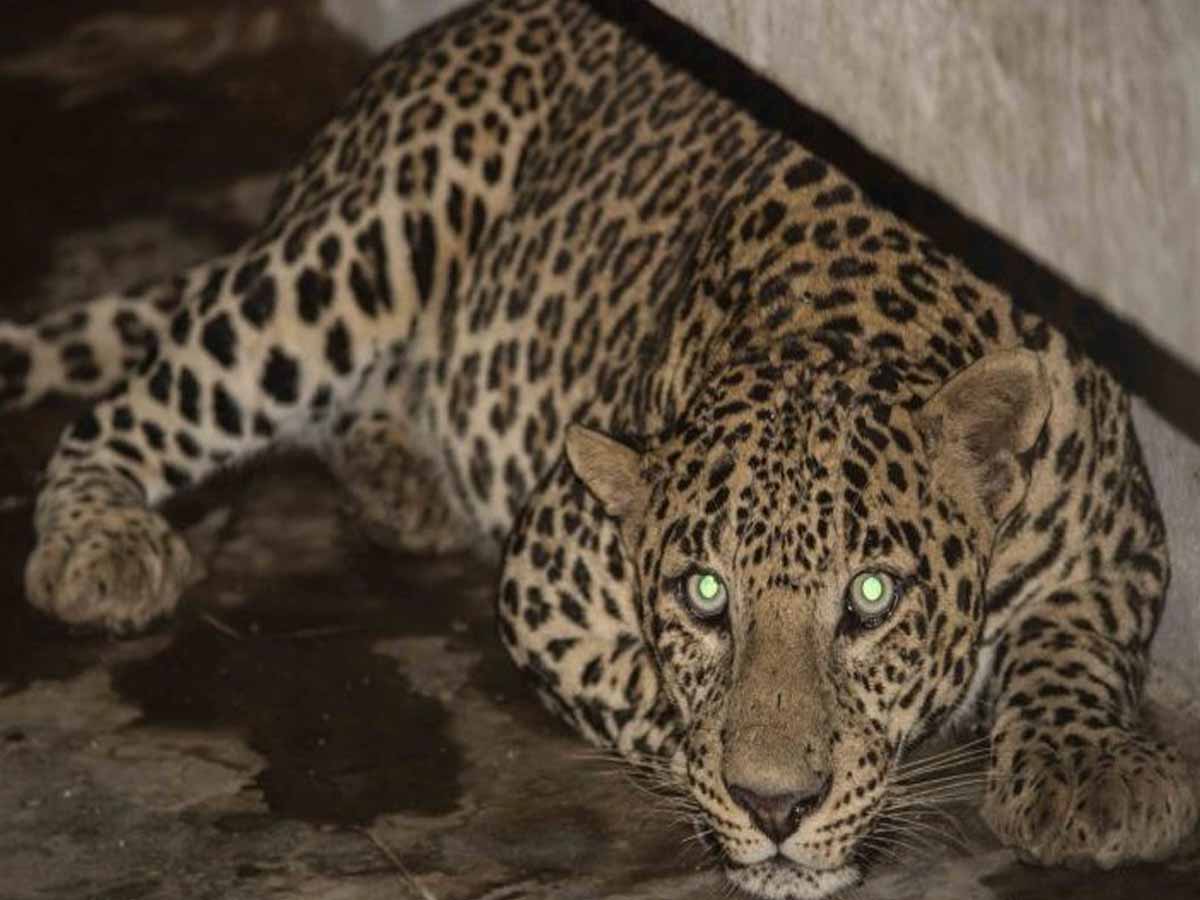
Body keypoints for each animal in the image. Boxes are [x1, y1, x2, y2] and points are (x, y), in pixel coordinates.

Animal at [1, 0, 1195, 896]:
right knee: (134, 403)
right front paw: (741, 788)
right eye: (705, 594)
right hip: (358, 249)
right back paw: (103, 545)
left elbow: (1074, 650)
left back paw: (402, 483)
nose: (776, 805)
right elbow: (659, 699)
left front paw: (1090, 771)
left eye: (870, 596)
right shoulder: (542, 578)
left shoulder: (1122, 545)